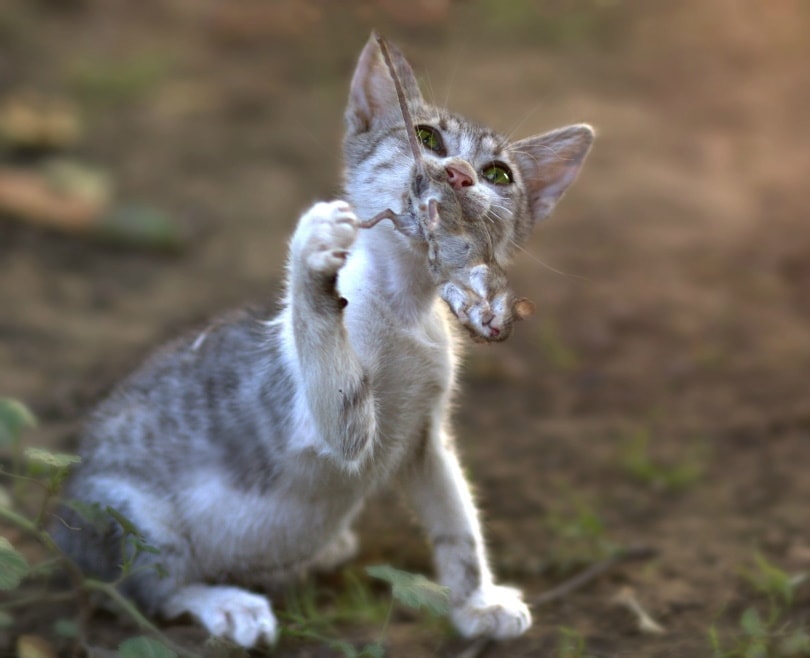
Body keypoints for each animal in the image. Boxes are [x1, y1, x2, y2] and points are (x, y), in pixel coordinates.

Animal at [52, 33, 592, 644]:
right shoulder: (323, 425)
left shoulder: (426, 437)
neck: (404, 310)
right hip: (130, 516)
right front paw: (309, 257)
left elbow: (457, 521)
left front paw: (476, 602)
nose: (455, 174)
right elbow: (326, 361)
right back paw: (227, 604)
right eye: (427, 137)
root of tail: (61, 522)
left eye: (498, 174)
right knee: (147, 592)